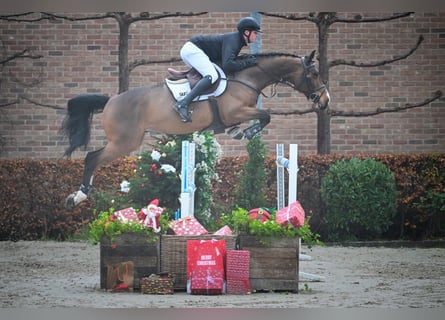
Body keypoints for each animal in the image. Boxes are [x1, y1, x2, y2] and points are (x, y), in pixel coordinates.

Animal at [60, 51, 328, 209]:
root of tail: (111, 100)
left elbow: (263, 116)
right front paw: (247, 133)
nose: (326, 101)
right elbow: (266, 115)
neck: (246, 78)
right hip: (125, 142)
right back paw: (78, 196)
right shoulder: (236, 112)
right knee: (92, 158)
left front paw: (238, 132)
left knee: (93, 158)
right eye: (314, 73)